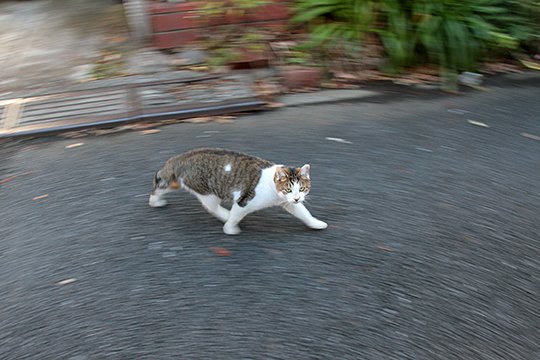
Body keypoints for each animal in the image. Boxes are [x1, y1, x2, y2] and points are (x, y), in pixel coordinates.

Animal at [150, 148, 332, 235]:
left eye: (301, 189)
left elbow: (303, 213)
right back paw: (225, 215)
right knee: (211, 207)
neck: (273, 190)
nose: (296, 198)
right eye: (288, 188)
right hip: (209, 192)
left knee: (160, 186)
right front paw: (230, 228)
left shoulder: (288, 203)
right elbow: (236, 216)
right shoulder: (244, 201)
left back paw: (155, 201)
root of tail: (181, 157)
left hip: (177, 182)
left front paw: (315, 223)